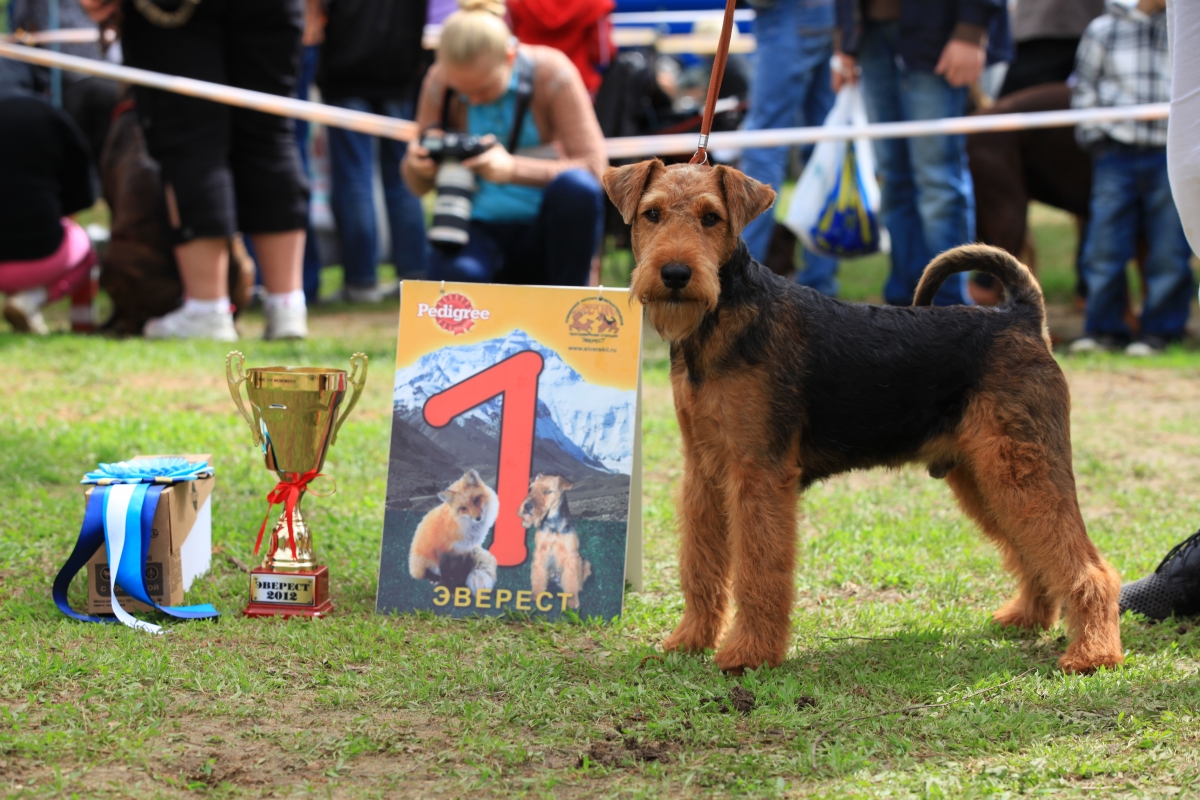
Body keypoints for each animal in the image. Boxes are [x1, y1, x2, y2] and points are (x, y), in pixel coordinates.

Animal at [604, 158, 1118, 676]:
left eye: (711, 218)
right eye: (652, 213)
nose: (675, 273)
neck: (721, 321)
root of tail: (1021, 317)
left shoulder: (759, 472)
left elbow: (758, 571)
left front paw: (749, 654)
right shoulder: (705, 471)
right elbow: (701, 565)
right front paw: (690, 640)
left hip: (1021, 470)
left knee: (1087, 565)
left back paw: (1092, 654)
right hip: (986, 476)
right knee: (1034, 553)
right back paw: (1027, 617)